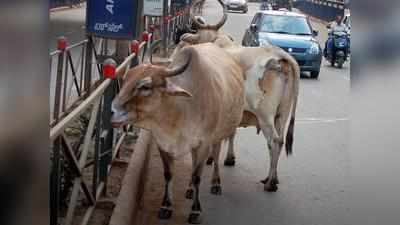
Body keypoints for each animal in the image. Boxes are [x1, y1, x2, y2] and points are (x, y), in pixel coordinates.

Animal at [111, 42, 245, 223]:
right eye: (125, 80)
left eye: (145, 86)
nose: (113, 111)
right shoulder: (162, 143)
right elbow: (169, 174)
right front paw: (166, 206)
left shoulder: (204, 144)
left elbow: (197, 176)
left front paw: (195, 211)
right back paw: (189, 190)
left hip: (218, 136)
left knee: (216, 157)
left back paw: (216, 183)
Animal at [172, 0, 300, 192]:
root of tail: (280, 55)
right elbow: (231, 133)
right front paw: (228, 158)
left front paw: (211, 160)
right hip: (282, 114)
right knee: (281, 140)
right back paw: (273, 178)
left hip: (265, 115)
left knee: (275, 141)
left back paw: (270, 184)